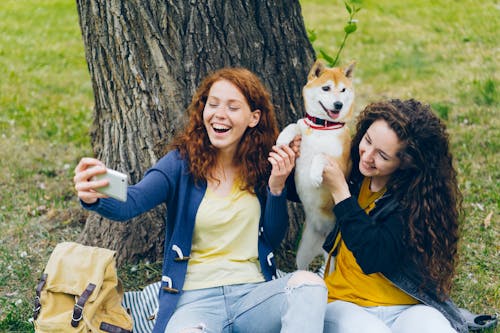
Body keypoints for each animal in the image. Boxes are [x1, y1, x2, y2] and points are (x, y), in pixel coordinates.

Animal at [276, 59, 354, 268]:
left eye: (343, 90)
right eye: (326, 88)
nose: (338, 104)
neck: (322, 127)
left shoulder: (342, 165)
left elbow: (321, 156)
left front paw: (315, 175)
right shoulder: (303, 127)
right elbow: (294, 125)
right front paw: (282, 138)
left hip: (331, 256)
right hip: (303, 251)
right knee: (301, 267)